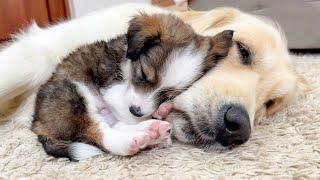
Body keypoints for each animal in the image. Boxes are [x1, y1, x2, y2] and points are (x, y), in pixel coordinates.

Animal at [31, 13, 234, 161]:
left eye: (168, 94)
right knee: (98, 132)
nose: (136, 110)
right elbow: (125, 112)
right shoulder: (111, 87)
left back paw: (153, 131)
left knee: (112, 124)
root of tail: (36, 124)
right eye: (143, 75)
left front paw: (161, 110)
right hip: (72, 94)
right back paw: (135, 140)